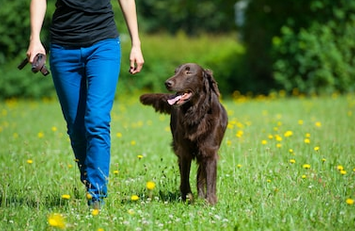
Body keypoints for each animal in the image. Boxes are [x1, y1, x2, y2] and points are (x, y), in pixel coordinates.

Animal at [140, 62, 228, 204]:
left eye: (188, 72)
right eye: (175, 72)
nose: (167, 83)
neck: (196, 114)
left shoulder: (209, 151)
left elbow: (209, 179)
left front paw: (210, 202)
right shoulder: (184, 151)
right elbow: (185, 178)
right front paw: (188, 197)